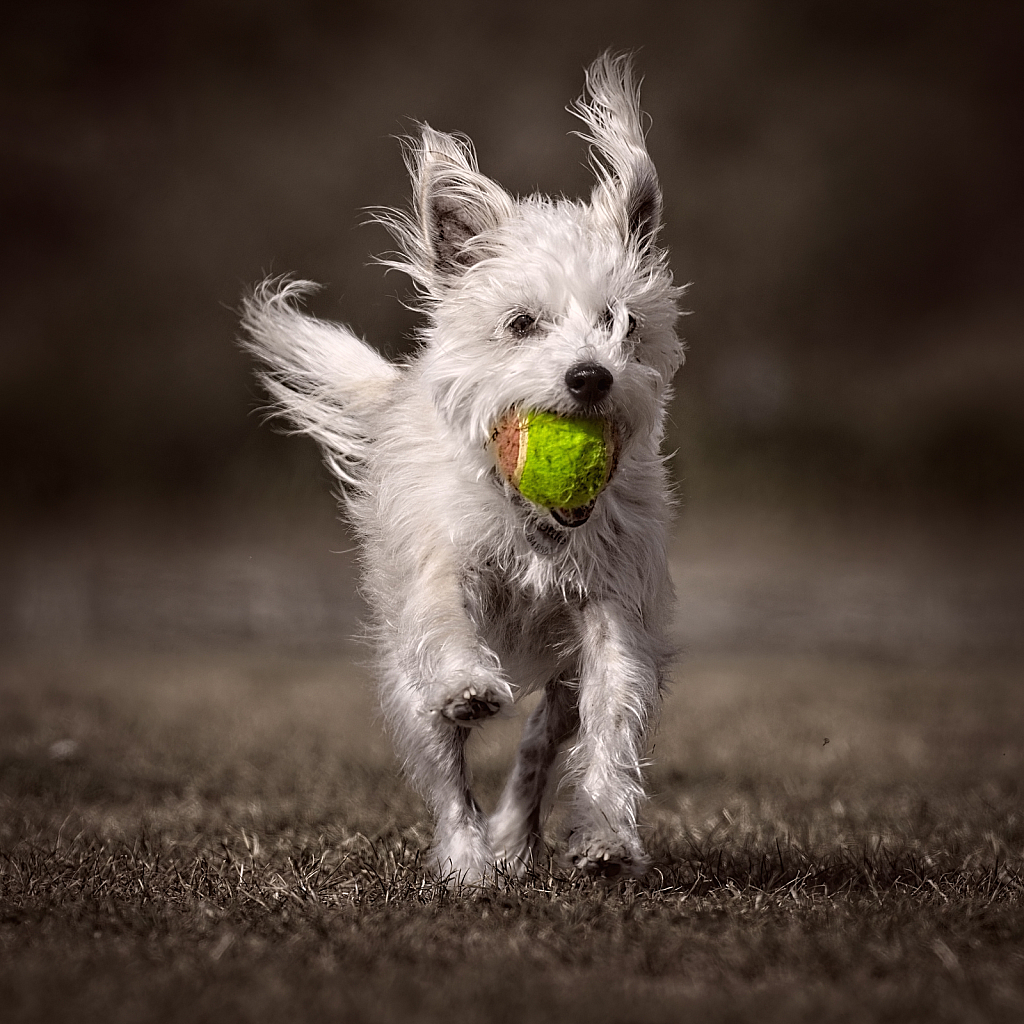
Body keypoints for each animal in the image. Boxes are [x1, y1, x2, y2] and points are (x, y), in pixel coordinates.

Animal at [242, 54, 684, 880]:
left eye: (624, 323)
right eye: (521, 323)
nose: (590, 378)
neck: (532, 518)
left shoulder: (613, 605)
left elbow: (612, 718)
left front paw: (607, 834)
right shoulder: (442, 565)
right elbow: (449, 621)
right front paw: (470, 684)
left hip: (559, 681)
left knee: (543, 742)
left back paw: (514, 838)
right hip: (403, 676)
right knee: (446, 768)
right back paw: (469, 860)